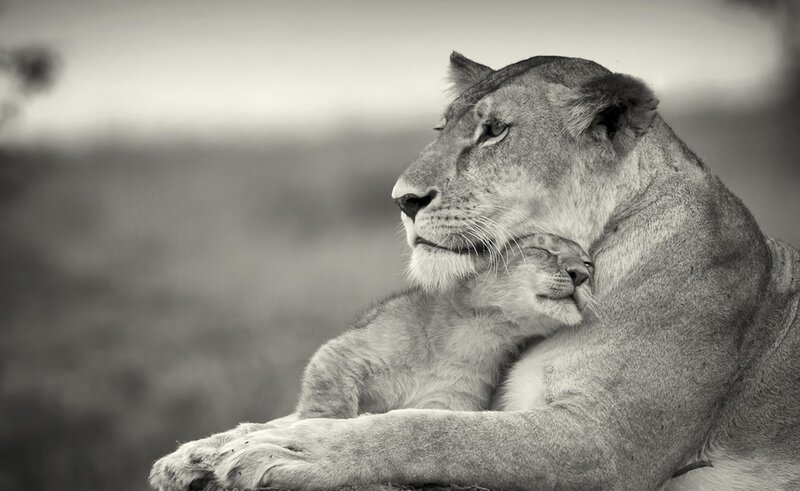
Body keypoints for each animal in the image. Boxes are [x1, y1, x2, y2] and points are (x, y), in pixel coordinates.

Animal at [150, 53, 800, 490]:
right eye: (444, 129)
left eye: (494, 132)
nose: (402, 200)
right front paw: (205, 451)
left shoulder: (608, 442)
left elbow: (431, 431)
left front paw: (290, 451)